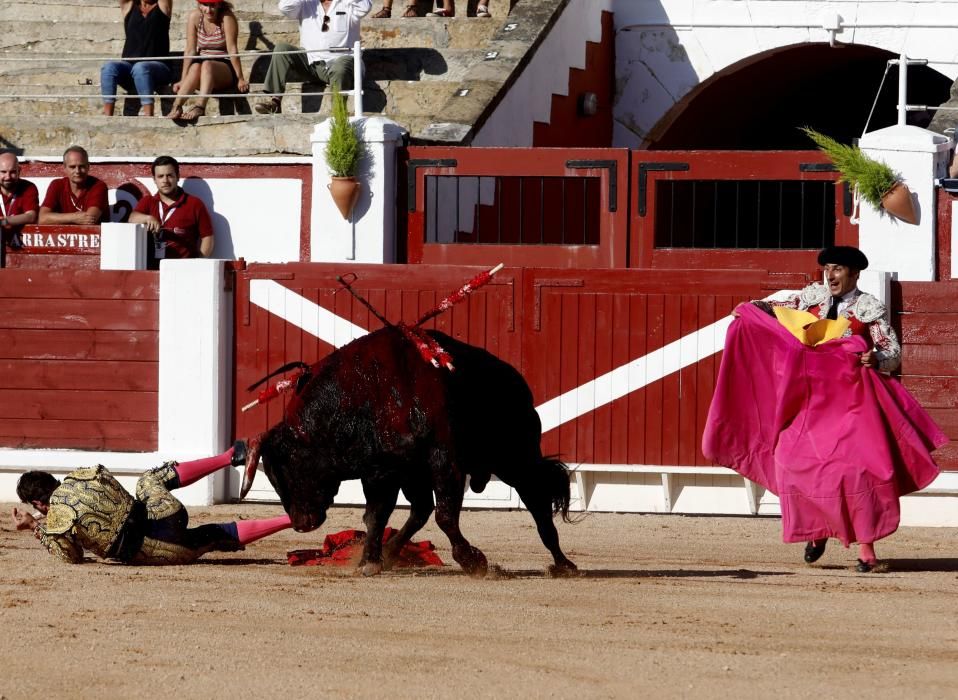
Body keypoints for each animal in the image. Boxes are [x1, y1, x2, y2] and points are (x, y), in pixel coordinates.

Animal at [248, 326, 576, 576]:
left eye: (288, 470)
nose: (301, 524)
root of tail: (519, 384)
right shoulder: (383, 470)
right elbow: (376, 515)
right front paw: (370, 562)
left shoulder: (443, 461)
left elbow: (445, 515)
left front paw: (473, 561)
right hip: (422, 473)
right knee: (420, 510)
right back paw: (391, 552)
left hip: (515, 458)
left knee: (536, 500)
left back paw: (564, 564)